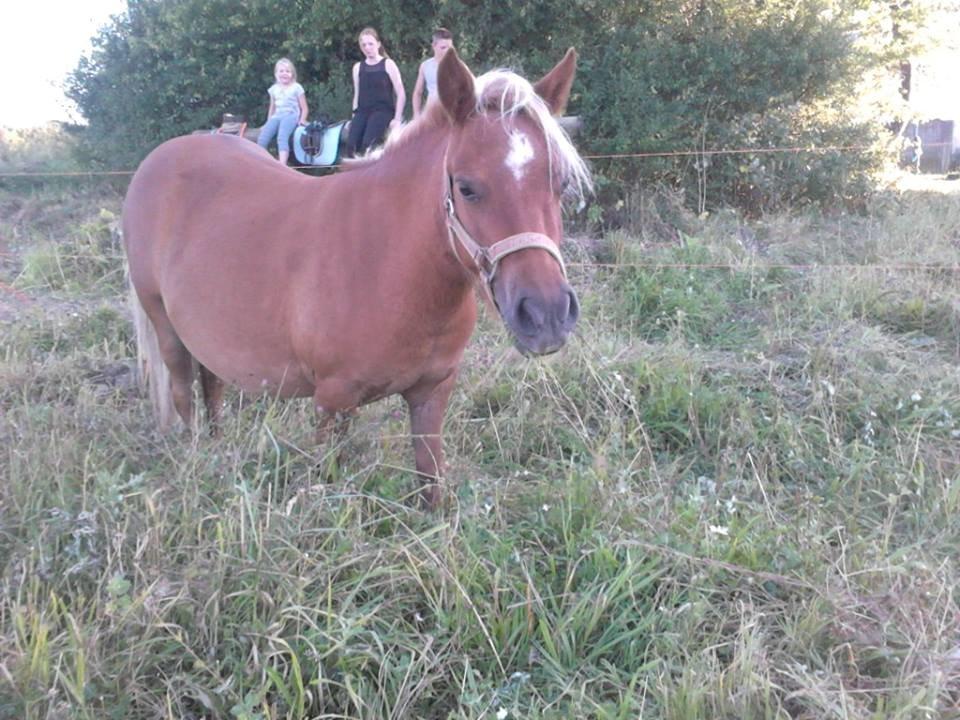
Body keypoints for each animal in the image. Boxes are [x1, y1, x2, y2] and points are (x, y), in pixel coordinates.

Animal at [124, 47, 588, 506]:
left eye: (561, 184)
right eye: (467, 188)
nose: (546, 314)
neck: (390, 267)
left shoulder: (432, 394)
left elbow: (432, 485)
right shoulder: (332, 403)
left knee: (213, 384)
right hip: (164, 324)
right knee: (183, 391)